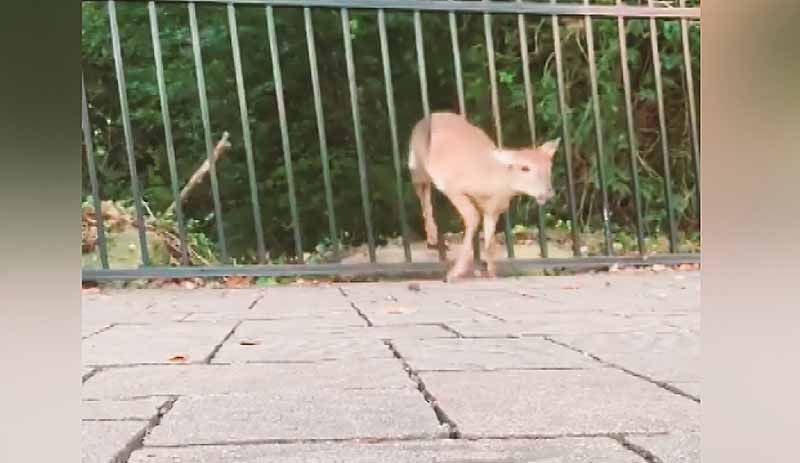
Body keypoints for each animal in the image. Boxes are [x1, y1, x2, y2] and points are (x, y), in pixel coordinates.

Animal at [410, 111, 560, 282]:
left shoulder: (493, 211)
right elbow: (472, 217)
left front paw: (491, 273)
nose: (548, 192)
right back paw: (432, 237)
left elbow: (489, 243)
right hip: (416, 166)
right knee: (423, 190)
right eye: (524, 168)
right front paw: (454, 273)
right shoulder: (454, 188)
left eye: (549, 166)